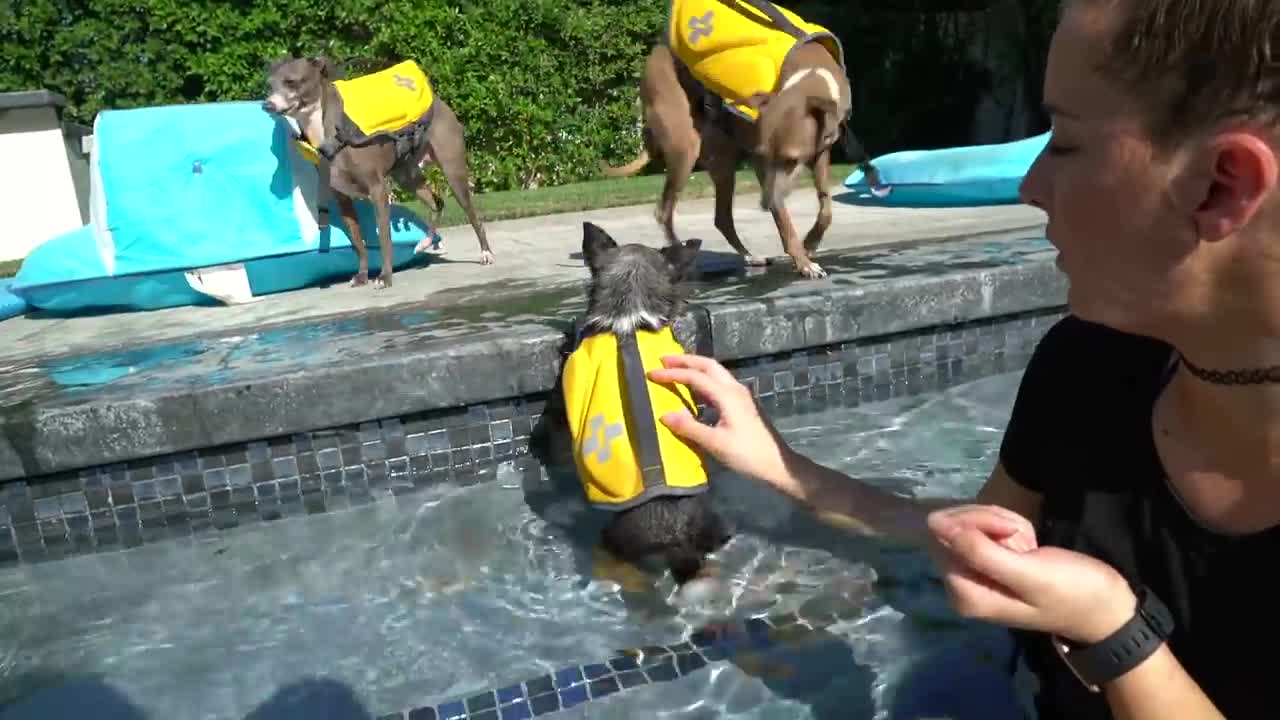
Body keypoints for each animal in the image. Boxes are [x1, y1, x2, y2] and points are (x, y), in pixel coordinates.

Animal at [604, 0, 885, 278]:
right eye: (763, 155)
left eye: (792, 161)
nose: (765, 203)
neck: (809, 74)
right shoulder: (762, 163)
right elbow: (785, 219)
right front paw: (803, 261)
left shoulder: (819, 152)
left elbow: (826, 206)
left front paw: (810, 243)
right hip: (685, 149)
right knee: (665, 211)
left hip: (722, 161)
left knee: (722, 218)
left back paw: (750, 256)